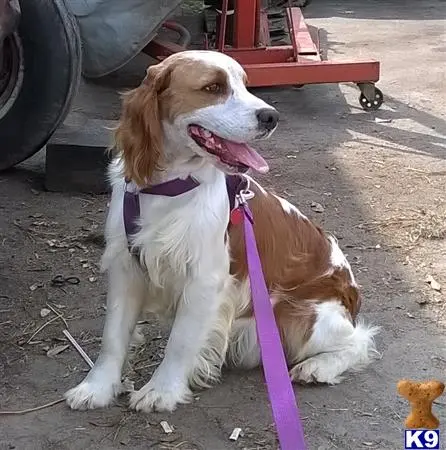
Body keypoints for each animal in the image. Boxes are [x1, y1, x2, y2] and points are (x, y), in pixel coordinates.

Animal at [65, 51, 380, 414]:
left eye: (245, 84)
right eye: (213, 87)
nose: (271, 116)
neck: (169, 186)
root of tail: (352, 295)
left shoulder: (204, 279)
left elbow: (180, 341)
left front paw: (162, 390)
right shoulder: (126, 266)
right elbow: (113, 336)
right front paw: (97, 387)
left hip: (300, 316)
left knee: (359, 340)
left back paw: (318, 367)